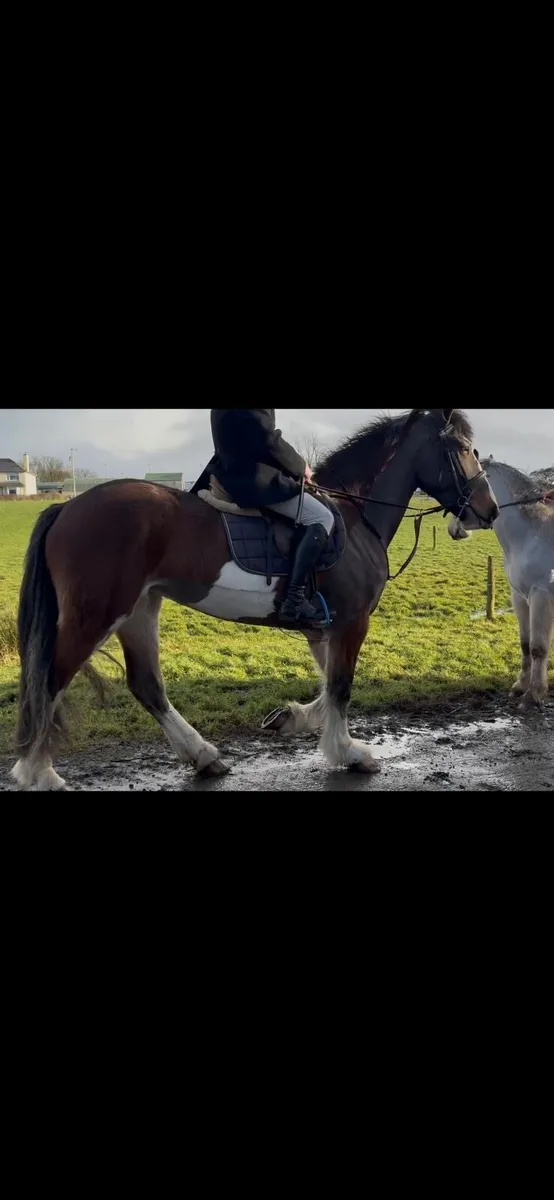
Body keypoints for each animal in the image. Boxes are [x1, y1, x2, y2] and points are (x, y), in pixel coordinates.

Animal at [11, 408, 498, 791]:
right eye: (463, 447)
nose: (488, 512)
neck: (355, 514)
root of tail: (68, 507)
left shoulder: (324, 627)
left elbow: (329, 685)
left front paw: (292, 719)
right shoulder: (352, 620)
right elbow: (341, 685)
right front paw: (349, 753)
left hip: (140, 609)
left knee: (146, 685)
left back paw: (204, 757)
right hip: (96, 615)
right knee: (49, 679)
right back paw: (40, 773)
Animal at [449, 458, 554, 710]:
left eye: (464, 490)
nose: (454, 529)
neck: (531, 534)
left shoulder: (541, 596)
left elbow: (538, 647)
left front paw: (534, 694)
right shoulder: (520, 597)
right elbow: (525, 644)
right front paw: (521, 686)